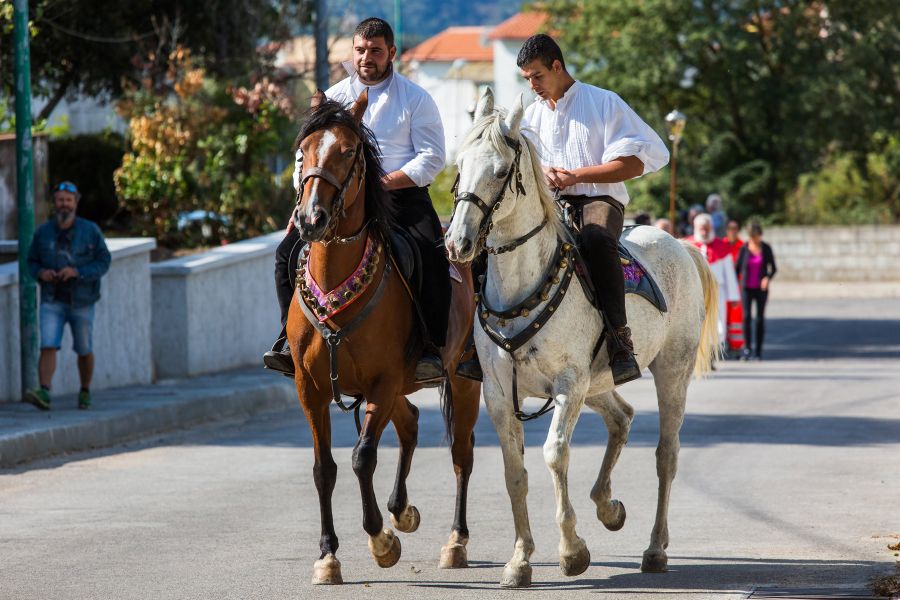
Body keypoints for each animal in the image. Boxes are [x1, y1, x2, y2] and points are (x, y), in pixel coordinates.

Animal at [288, 91, 482, 584]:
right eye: (303, 152)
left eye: (348, 152)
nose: (311, 219)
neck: (336, 284)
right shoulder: (309, 388)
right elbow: (324, 468)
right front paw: (328, 556)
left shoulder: (382, 381)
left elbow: (362, 457)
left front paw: (381, 541)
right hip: (399, 387)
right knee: (411, 422)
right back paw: (403, 510)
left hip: (461, 378)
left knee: (461, 453)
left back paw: (455, 542)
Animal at [446, 89, 720, 584]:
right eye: (459, 165)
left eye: (500, 171)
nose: (458, 242)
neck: (522, 285)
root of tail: (679, 244)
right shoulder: (498, 393)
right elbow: (514, 472)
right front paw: (520, 559)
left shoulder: (568, 384)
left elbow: (555, 455)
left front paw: (572, 551)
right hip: (599, 383)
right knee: (622, 418)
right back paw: (608, 507)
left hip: (670, 371)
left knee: (666, 455)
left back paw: (655, 549)